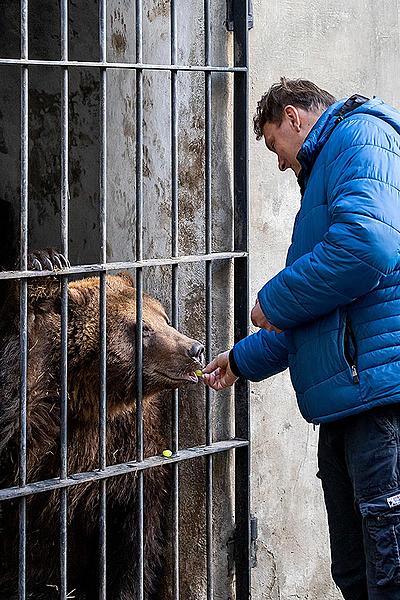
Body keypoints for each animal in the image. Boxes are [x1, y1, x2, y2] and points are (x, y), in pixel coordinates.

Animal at [0, 247, 203, 596]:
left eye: (164, 318)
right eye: (142, 328)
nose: (195, 348)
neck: (89, 400)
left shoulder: (131, 438)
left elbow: (136, 533)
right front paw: (44, 265)